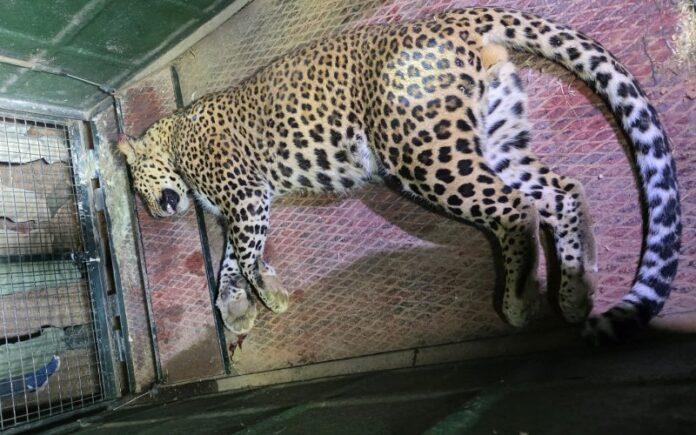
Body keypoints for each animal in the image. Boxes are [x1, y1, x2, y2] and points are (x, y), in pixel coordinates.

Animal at [118, 7, 681, 344]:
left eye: (139, 191)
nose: (157, 212)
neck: (173, 135)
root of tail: (451, 18)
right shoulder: (241, 206)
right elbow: (230, 262)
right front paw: (236, 309)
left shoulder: (245, 198)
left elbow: (248, 255)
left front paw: (269, 298)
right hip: (495, 137)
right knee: (561, 192)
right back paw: (575, 291)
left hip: (421, 153)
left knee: (513, 209)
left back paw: (519, 301)